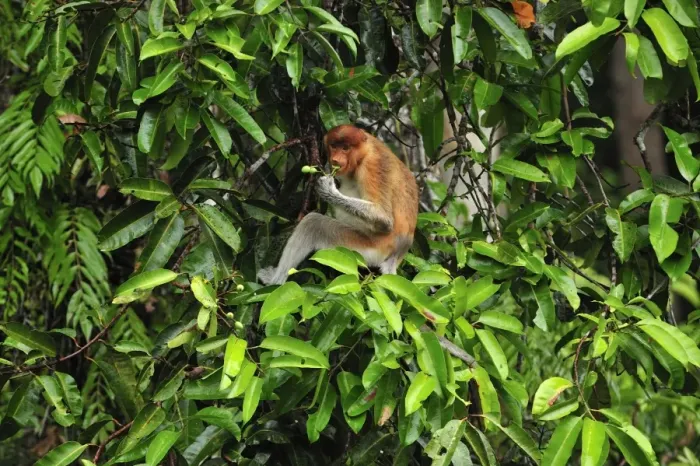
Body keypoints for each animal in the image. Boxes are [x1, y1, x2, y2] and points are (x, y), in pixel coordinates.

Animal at [257, 125, 419, 285]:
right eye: (334, 146)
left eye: (345, 148)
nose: (335, 159)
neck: (365, 151)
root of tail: (397, 254)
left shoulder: (373, 166)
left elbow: (384, 219)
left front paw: (327, 190)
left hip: (366, 248)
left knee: (313, 224)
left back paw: (274, 281)